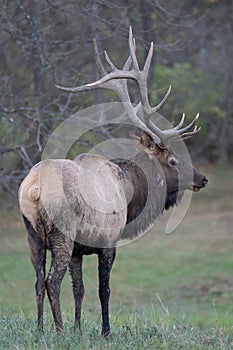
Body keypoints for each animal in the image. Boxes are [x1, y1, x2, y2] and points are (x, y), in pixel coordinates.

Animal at [18, 26, 208, 334]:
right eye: (172, 161)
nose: (203, 178)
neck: (131, 193)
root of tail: (33, 189)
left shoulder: (80, 250)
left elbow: (79, 289)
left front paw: (78, 329)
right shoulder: (108, 241)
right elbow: (103, 290)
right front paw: (104, 332)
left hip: (32, 235)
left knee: (36, 281)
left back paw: (40, 329)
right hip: (62, 233)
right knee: (51, 281)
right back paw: (57, 331)